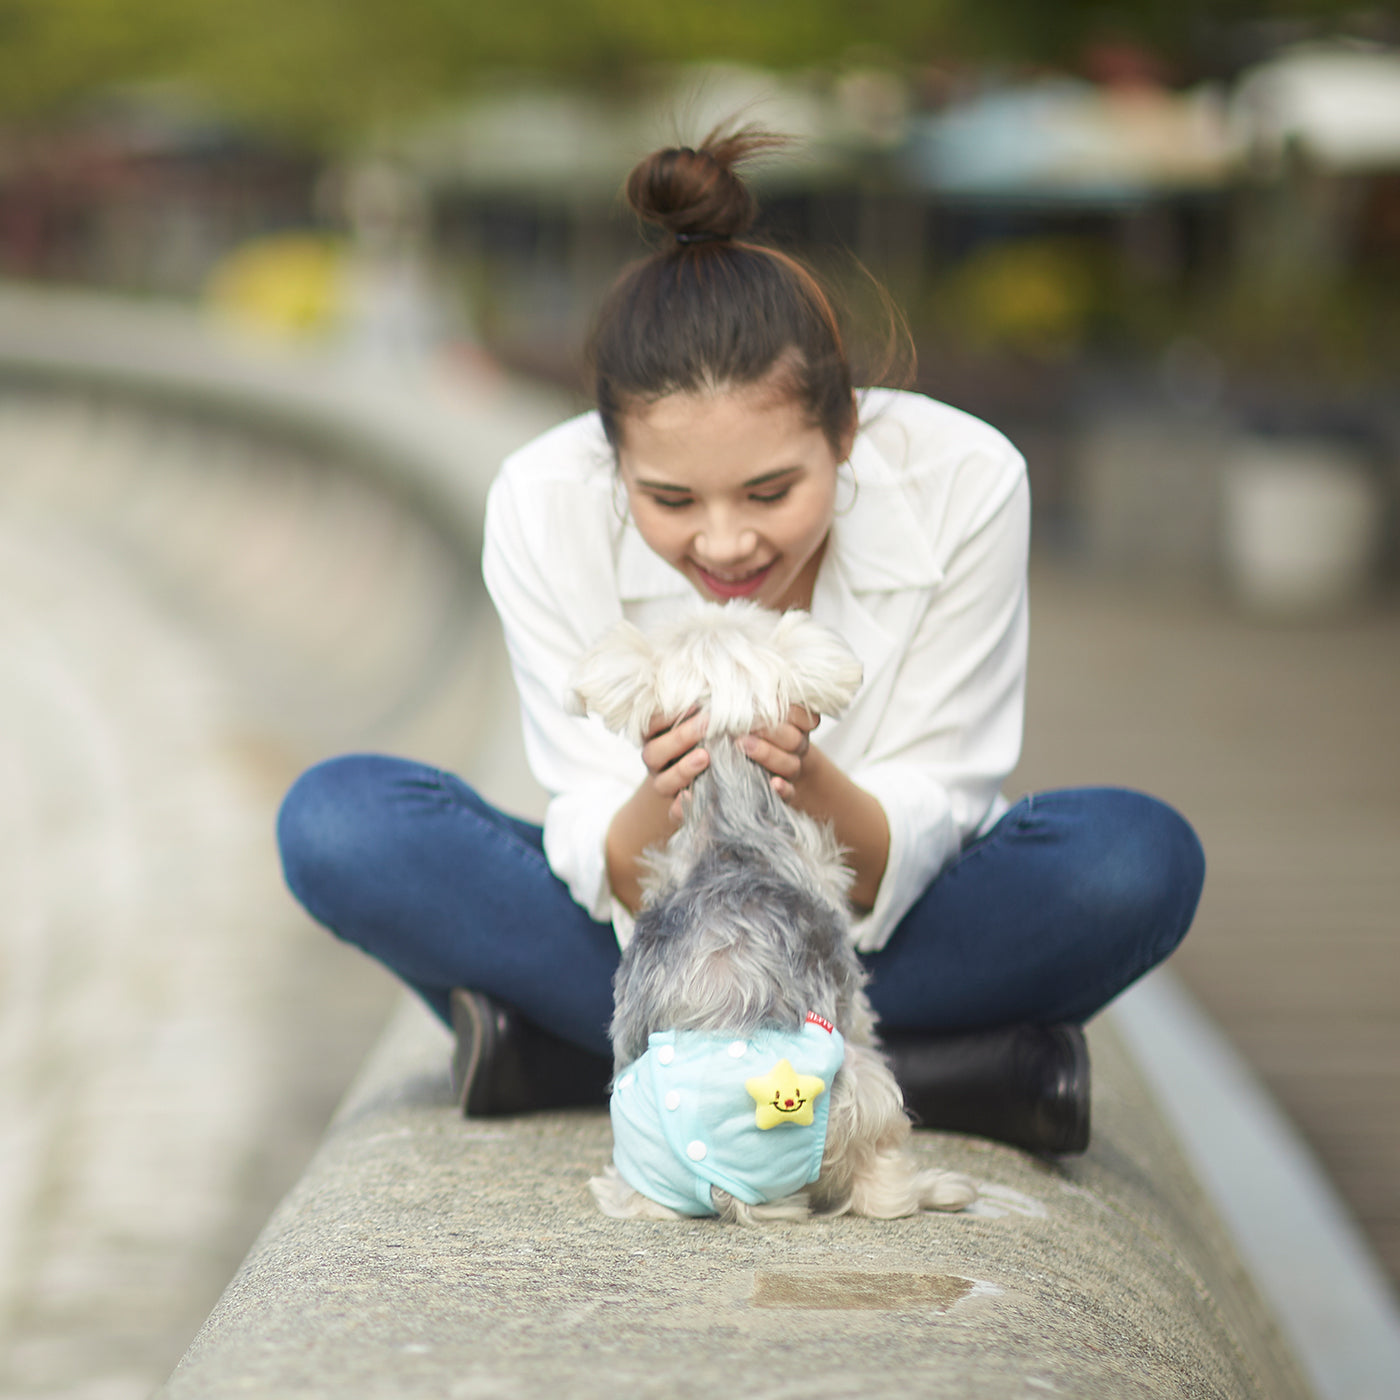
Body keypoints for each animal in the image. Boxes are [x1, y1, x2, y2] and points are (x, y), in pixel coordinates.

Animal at [568, 602, 974, 1226]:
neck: (729, 830)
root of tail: (724, 1186)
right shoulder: (851, 996)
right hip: (858, 1083)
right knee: (879, 1184)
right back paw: (938, 1188)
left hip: (639, 1163)